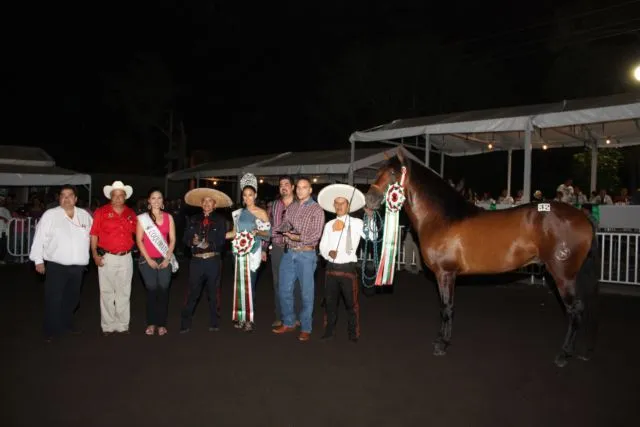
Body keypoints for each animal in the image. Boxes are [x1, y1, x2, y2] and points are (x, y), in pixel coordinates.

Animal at [364, 148, 600, 368]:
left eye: (393, 173)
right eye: (377, 171)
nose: (369, 200)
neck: (441, 217)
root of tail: (583, 218)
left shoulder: (446, 273)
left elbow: (447, 308)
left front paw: (442, 344)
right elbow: (444, 307)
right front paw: (441, 339)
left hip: (563, 276)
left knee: (575, 311)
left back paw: (564, 354)